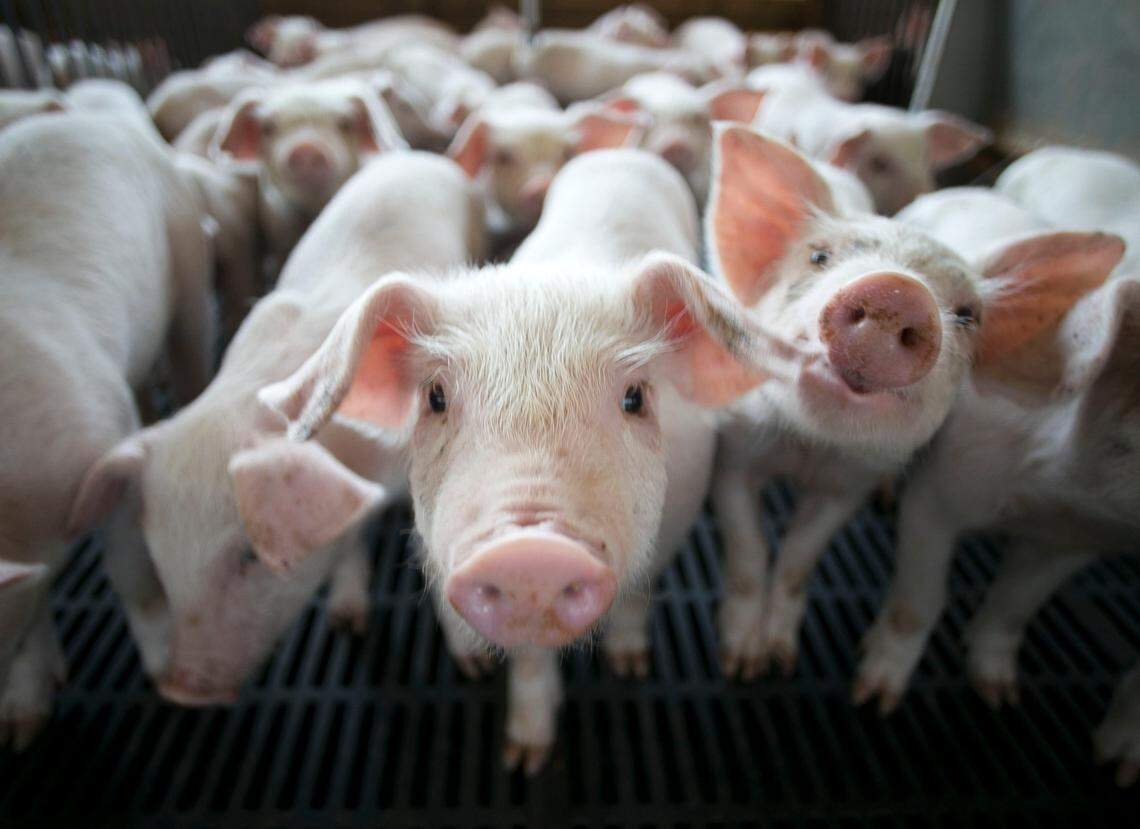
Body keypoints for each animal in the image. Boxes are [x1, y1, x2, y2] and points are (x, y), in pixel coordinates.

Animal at [0, 111, 217, 747]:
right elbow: (33, 609)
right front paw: (22, 729)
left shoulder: (102, 447)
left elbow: (129, 570)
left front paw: (171, 683)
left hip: (185, 256)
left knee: (191, 354)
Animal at [68, 151, 485, 707]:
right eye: (159, 553)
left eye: (249, 553)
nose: (181, 691)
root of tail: (418, 157)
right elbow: (350, 536)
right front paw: (346, 621)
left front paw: (475, 664)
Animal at [259, 148, 808, 774]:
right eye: (435, 398)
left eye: (635, 397)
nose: (530, 552)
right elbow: (525, 657)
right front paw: (522, 757)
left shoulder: (680, 513)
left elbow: (637, 593)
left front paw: (629, 666)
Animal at [703, 125, 1124, 680]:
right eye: (818, 257)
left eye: (967, 314)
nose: (896, 292)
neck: (809, 448)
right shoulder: (734, 453)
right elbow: (747, 549)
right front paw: (742, 665)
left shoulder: (849, 485)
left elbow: (799, 556)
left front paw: (785, 660)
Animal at [852, 186, 1136, 786]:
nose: (897, 299)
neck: (1048, 500)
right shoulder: (940, 493)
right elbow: (920, 599)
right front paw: (874, 700)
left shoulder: (1081, 538)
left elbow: (1015, 605)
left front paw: (1000, 698)